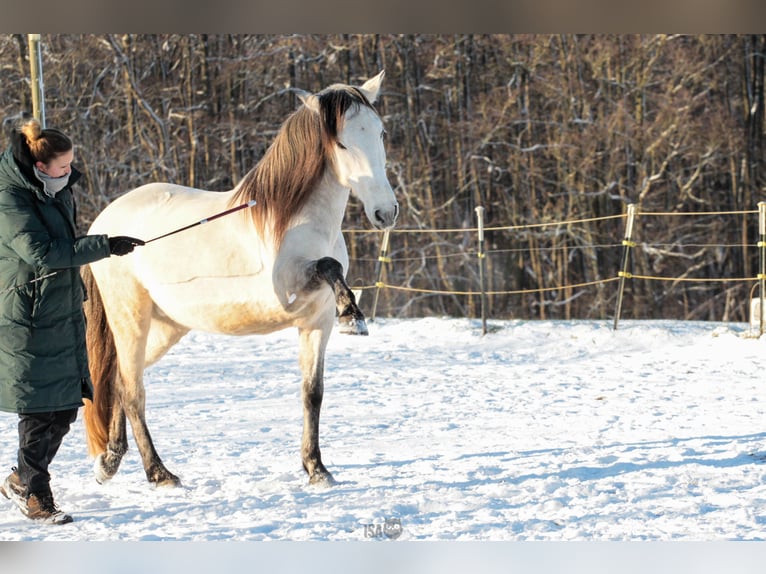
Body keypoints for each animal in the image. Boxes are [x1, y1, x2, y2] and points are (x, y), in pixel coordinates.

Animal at [81, 71, 398, 488]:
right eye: (342, 142)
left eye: (380, 132)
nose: (385, 212)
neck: (295, 220)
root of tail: (103, 228)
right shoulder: (288, 291)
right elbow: (329, 266)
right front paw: (354, 316)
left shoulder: (315, 322)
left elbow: (312, 393)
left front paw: (316, 468)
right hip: (131, 320)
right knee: (134, 392)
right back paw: (160, 473)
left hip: (164, 328)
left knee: (119, 381)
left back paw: (109, 462)